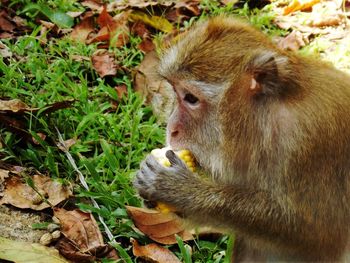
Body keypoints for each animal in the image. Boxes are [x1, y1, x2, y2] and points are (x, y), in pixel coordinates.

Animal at [133, 16, 350, 262]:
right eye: (175, 92)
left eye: (190, 98)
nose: (172, 129)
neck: (267, 119)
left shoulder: (309, 143)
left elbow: (320, 234)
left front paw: (180, 191)